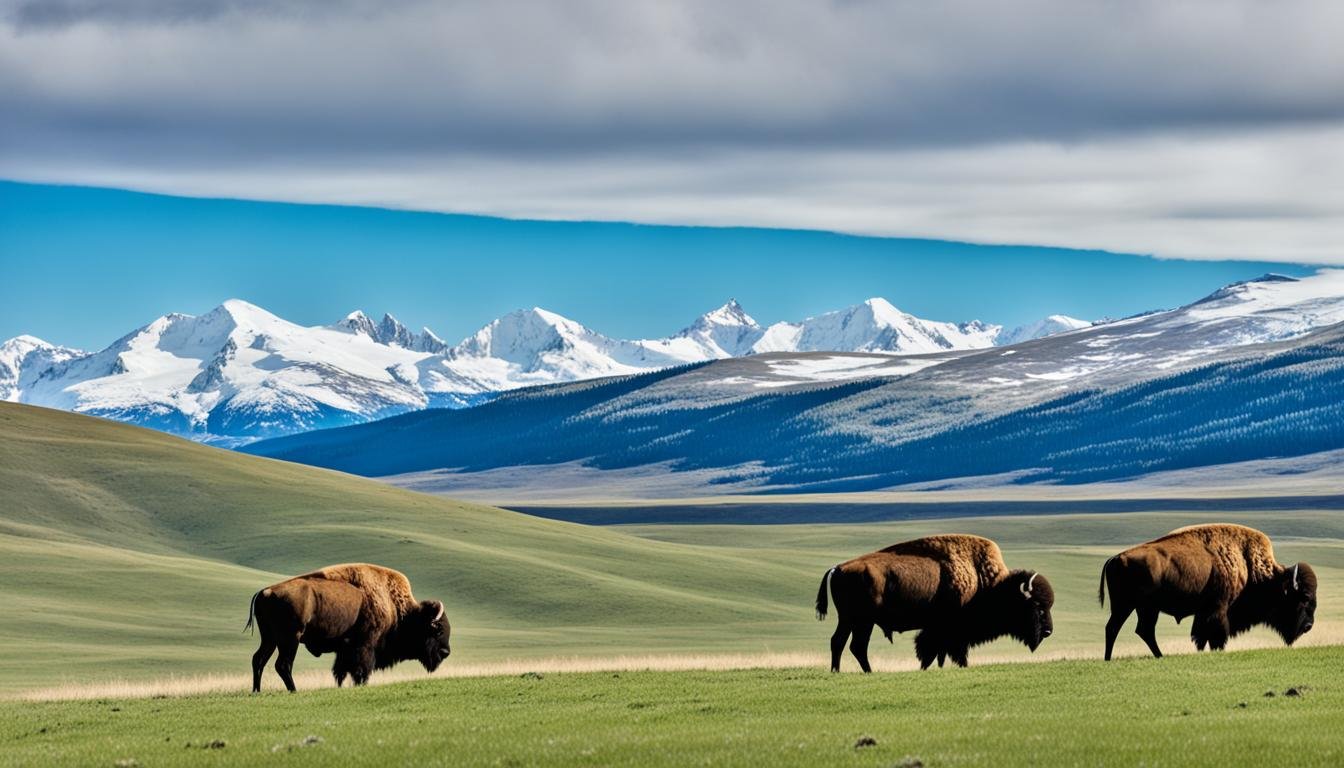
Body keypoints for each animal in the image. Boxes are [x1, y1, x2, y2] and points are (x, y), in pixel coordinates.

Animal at [243, 562, 451, 694]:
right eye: (438, 630)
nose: (446, 652)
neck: (394, 606)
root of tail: (265, 591)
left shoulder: (344, 650)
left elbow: (340, 671)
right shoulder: (365, 646)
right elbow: (360, 670)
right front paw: (360, 685)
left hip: (270, 638)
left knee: (258, 660)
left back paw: (256, 691)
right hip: (289, 639)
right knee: (283, 664)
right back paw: (294, 691)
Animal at [811, 535, 1053, 672]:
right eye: (1037, 606)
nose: (1049, 631)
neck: (982, 580)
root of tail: (838, 568)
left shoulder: (942, 632)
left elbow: (939, 653)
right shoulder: (947, 631)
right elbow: (937, 650)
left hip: (852, 620)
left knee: (842, 643)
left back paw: (840, 671)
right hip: (860, 621)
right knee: (854, 645)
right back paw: (863, 671)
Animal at [1096, 521, 1317, 661]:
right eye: (1304, 598)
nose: (1308, 626)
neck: (1247, 562)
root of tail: (1116, 558)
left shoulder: (1203, 613)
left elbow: (1201, 636)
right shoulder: (1218, 609)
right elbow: (1215, 635)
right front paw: (1217, 650)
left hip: (1144, 608)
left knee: (1141, 630)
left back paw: (1156, 656)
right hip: (1128, 606)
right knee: (1116, 628)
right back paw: (1111, 659)